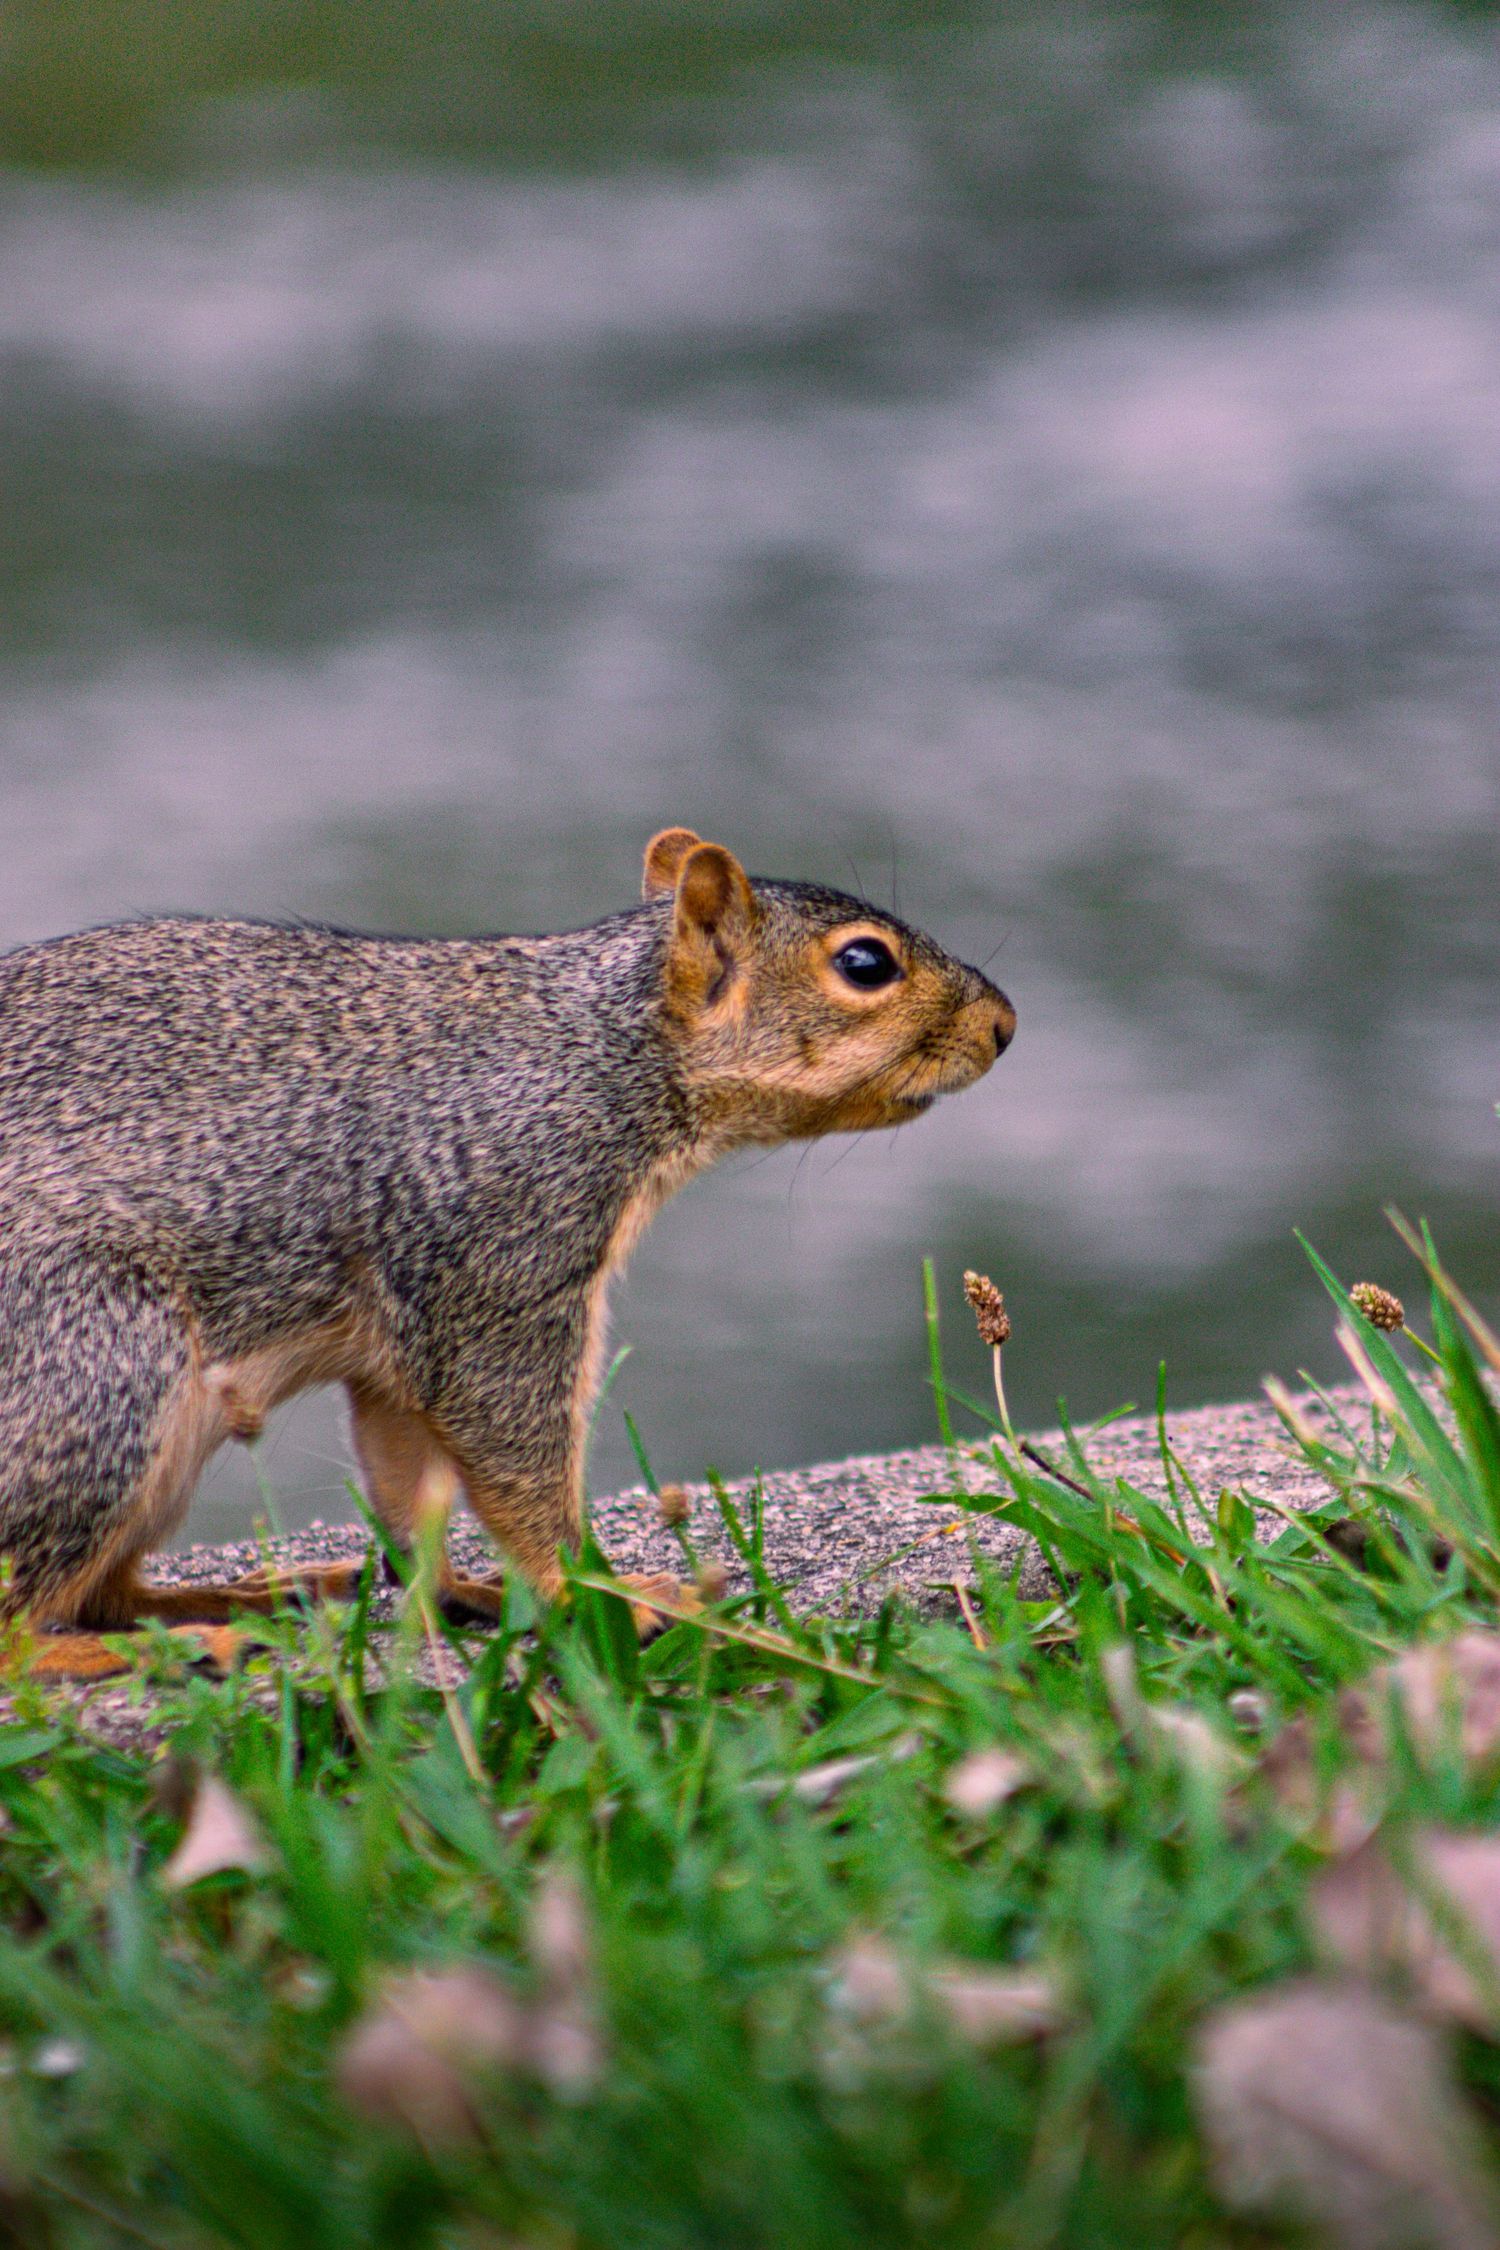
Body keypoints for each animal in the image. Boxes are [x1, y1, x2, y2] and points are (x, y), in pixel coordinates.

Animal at [0, 827, 1014, 1674]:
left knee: (102, 1593)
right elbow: (507, 1441)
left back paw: (248, 1595)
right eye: (864, 963)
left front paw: (466, 1588)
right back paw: (138, 1652)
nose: (1003, 1025)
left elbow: (409, 1483)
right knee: (24, 1637)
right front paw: (592, 1590)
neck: (596, 1050)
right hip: (95, 1378)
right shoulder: (496, 1260)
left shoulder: (406, 1339)